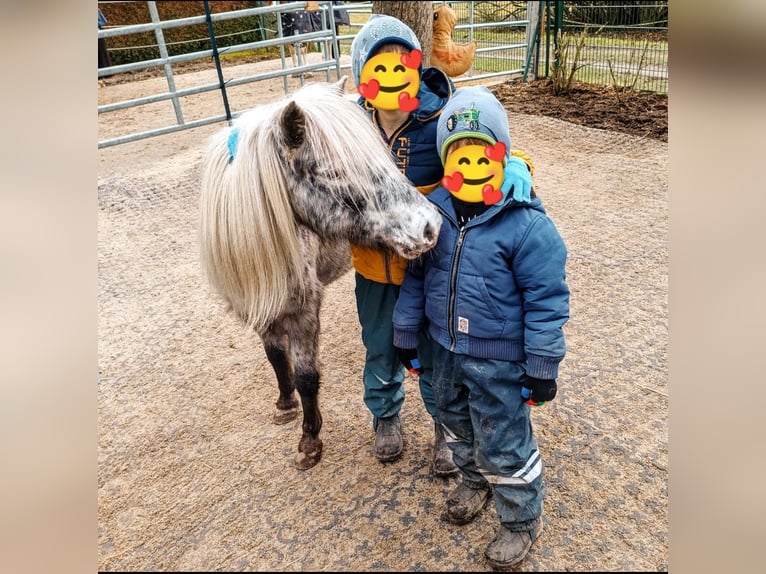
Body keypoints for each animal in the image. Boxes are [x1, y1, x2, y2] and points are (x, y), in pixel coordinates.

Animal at [200, 77, 444, 472]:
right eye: (332, 171)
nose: (429, 226)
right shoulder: (260, 308)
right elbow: (275, 356)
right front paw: (285, 404)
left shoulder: (304, 310)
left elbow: (307, 376)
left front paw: (310, 440)